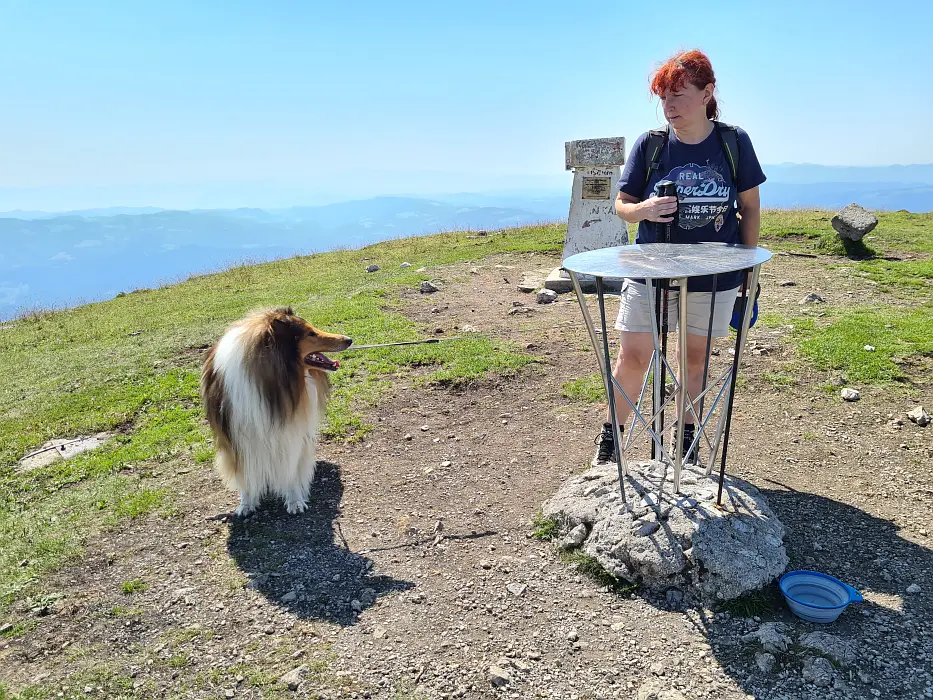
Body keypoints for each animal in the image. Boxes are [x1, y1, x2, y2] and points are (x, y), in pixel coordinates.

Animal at [200, 306, 354, 516]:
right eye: (310, 333)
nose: (349, 339)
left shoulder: (290, 431)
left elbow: (290, 468)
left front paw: (295, 501)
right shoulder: (234, 437)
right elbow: (245, 474)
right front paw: (246, 504)